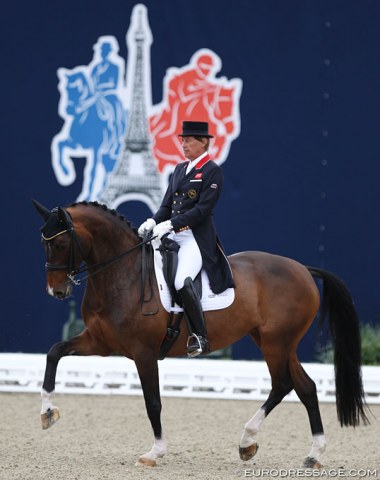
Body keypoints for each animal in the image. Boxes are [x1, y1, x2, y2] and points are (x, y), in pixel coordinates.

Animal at [32, 199, 368, 468]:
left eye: (59, 244)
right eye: (44, 243)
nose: (55, 291)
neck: (123, 274)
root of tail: (303, 269)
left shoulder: (143, 353)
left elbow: (153, 402)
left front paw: (155, 452)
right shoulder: (100, 342)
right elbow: (54, 352)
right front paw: (47, 412)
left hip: (277, 343)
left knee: (283, 384)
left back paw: (248, 441)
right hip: (276, 341)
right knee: (305, 387)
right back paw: (311, 454)